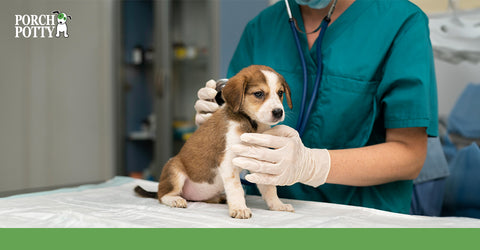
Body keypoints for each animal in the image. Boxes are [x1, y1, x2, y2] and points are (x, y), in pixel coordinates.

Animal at [133, 64, 294, 219]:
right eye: (259, 93)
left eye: (280, 93)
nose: (278, 112)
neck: (251, 123)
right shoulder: (227, 162)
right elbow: (236, 188)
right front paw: (239, 208)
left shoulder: (258, 161)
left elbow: (269, 188)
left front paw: (277, 205)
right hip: (174, 169)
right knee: (162, 195)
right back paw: (175, 200)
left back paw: (219, 198)